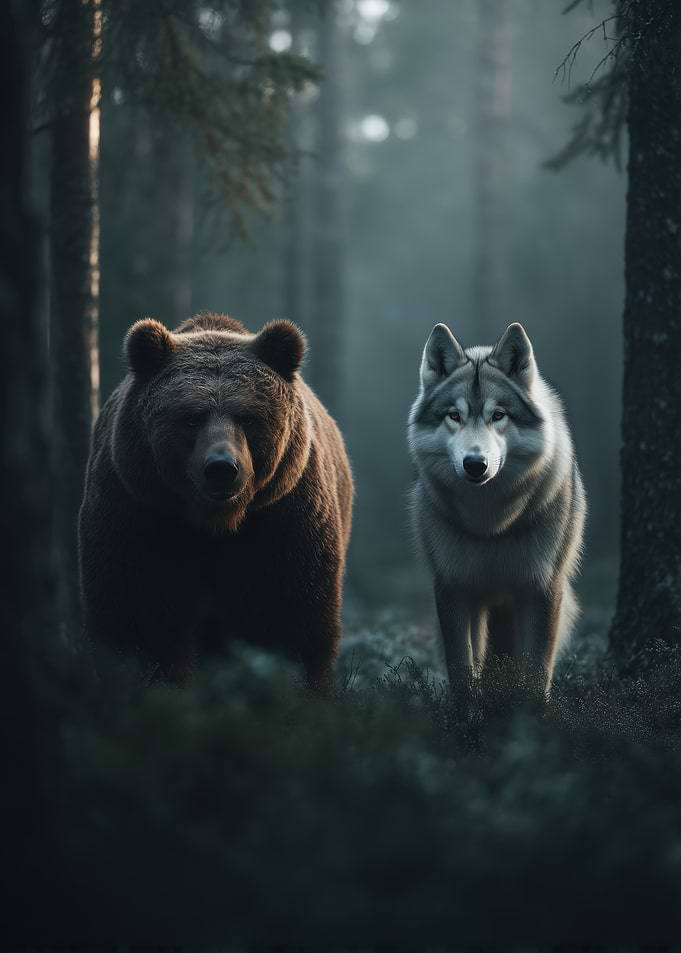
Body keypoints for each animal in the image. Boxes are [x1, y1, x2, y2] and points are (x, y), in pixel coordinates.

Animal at [79, 312, 353, 687]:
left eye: (249, 417)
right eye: (192, 416)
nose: (222, 468)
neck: (215, 523)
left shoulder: (283, 516)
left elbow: (292, 616)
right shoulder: (138, 510)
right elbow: (138, 619)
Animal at [408, 322, 586, 689]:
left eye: (498, 415)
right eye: (454, 416)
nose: (475, 464)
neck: (491, 523)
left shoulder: (542, 589)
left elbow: (535, 677)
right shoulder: (453, 590)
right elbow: (462, 675)